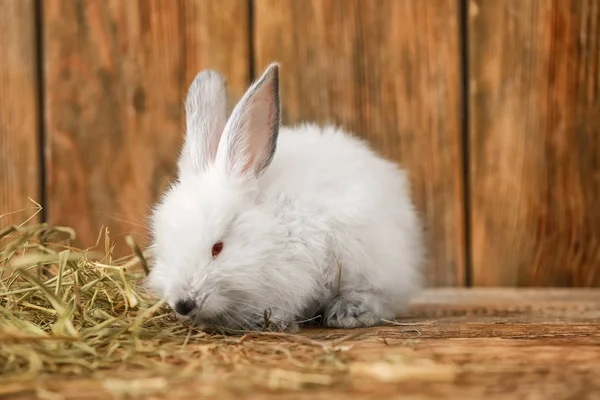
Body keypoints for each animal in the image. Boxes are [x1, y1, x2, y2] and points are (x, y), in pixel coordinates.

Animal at [147, 61, 424, 332]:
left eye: (217, 248)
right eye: (163, 245)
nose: (183, 304)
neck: (266, 235)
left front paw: (269, 322)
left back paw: (348, 312)